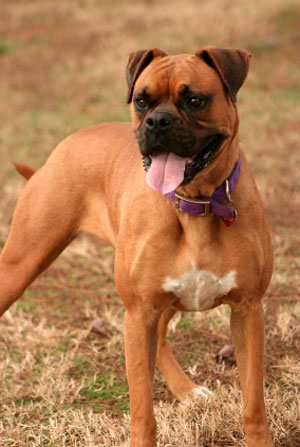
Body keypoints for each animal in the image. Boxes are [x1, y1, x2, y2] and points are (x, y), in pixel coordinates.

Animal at [0, 47, 274, 446]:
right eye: (142, 101)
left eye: (195, 100)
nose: (158, 122)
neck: (195, 205)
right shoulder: (139, 313)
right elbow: (143, 412)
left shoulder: (247, 311)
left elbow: (253, 405)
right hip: (20, 265)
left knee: (160, 338)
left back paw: (187, 390)